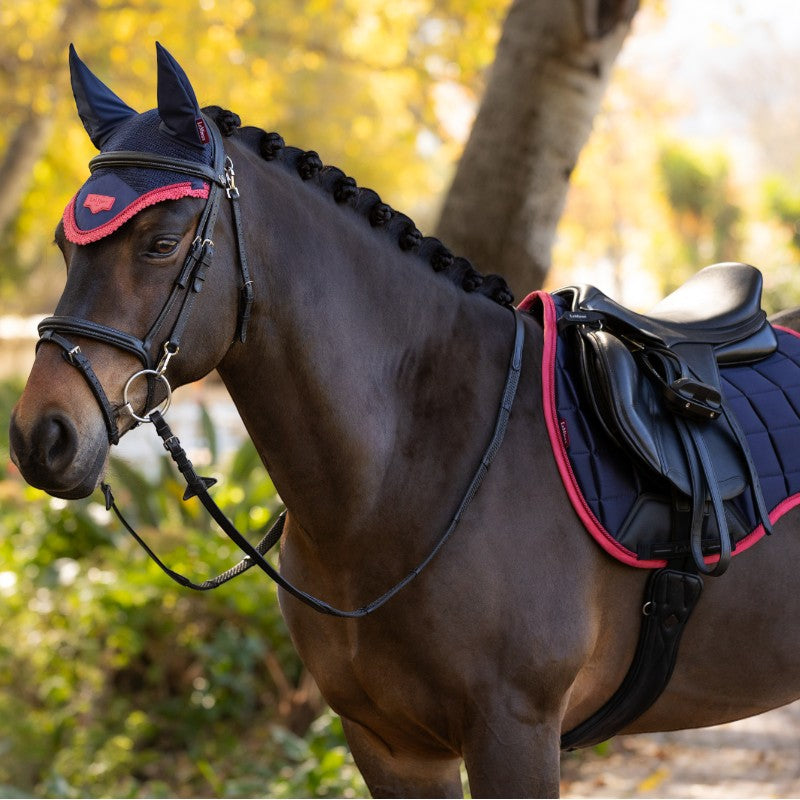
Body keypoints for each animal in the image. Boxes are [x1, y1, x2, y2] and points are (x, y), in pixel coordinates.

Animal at [10, 44, 800, 798]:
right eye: (63, 245)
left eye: (161, 244)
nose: (40, 436)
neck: (409, 468)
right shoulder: (390, 746)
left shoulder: (514, 735)